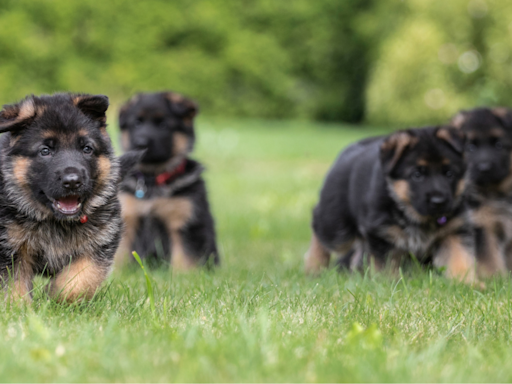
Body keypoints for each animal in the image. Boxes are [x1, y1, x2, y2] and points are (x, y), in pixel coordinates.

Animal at [0, 94, 140, 304]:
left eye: (87, 149)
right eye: (45, 151)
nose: (73, 181)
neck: (55, 222)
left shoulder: (99, 245)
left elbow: (80, 279)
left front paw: (55, 297)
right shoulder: (11, 248)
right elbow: (14, 285)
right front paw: (19, 307)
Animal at [115, 91, 219, 268]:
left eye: (163, 124)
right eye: (137, 123)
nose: (141, 143)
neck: (152, 180)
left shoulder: (184, 223)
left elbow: (185, 259)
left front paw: (185, 275)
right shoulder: (127, 219)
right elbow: (118, 256)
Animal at [304, 127, 476, 280]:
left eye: (449, 173)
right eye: (417, 174)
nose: (439, 201)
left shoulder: (454, 232)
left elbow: (460, 259)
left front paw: (467, 283)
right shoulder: (381, 234)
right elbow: (385, 267)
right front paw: (389, 283)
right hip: (337, 226)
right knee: (319, 227)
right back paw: (313, 268)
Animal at [450, 108, 512, 276]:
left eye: (498, 145)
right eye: (471, 147)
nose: (485, 168)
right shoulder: (482, 226)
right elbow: (489, 258)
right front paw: (495, 277)